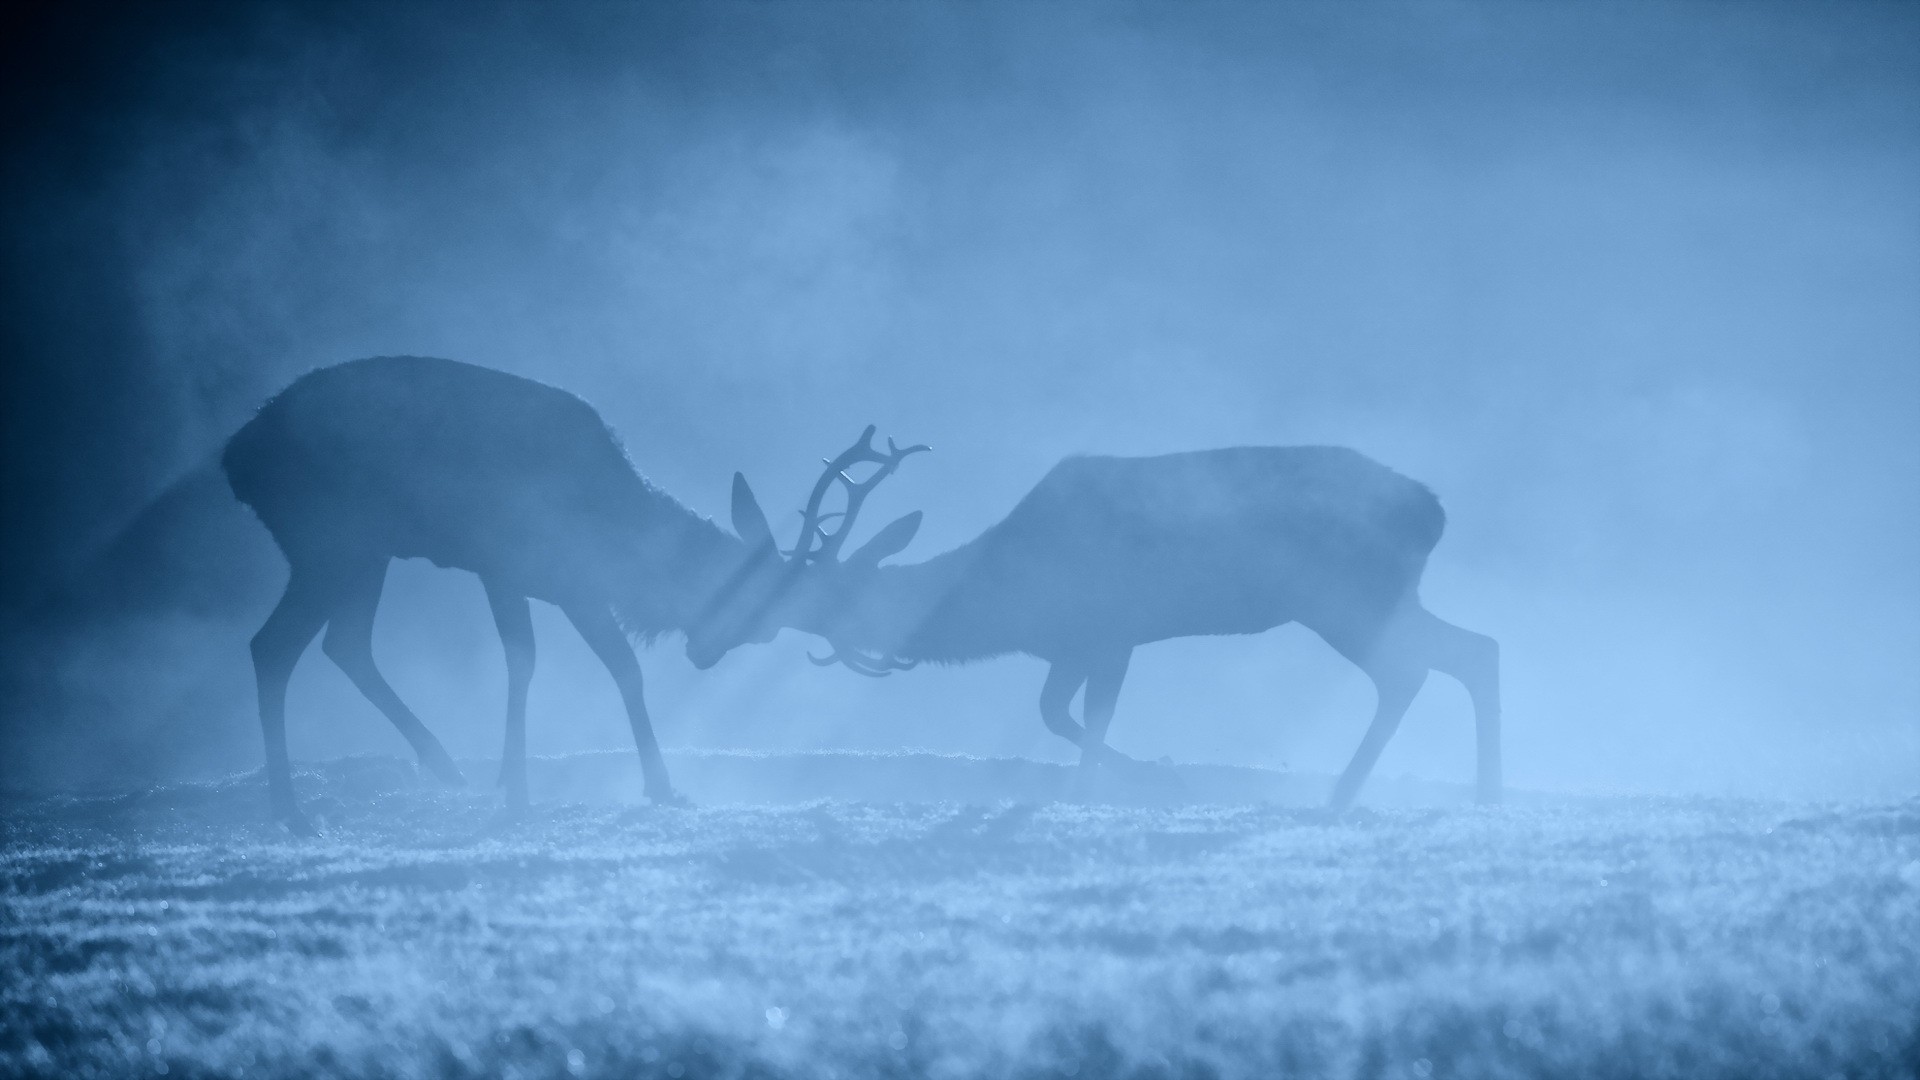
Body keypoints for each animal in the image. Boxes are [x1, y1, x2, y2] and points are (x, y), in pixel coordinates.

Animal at [223, 355, 800, 834]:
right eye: (752, 611)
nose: (703, 654)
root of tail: (234, 461)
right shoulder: (512, 570)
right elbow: (531, 661)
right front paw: (520, 792)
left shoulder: (564, 587)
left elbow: (615, 668)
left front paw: (659, 788)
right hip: (330, 546)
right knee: (273, 645)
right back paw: (292, 810)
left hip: (365, 554)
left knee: (343, 643)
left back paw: (440, 764)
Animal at [691, 429, 1502, 809]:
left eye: (786, 595)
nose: (700, 644)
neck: (1006, 595)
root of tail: (1435, 511)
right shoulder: (1072, 644)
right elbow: (1063, 715)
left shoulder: (1109, 630)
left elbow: (1081, 718)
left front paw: (1146, 784)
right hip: (1382, 597)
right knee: (1474, 648)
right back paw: (1476, 790)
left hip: (1347, 596)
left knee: (1416, 668)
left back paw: (1348, 794)